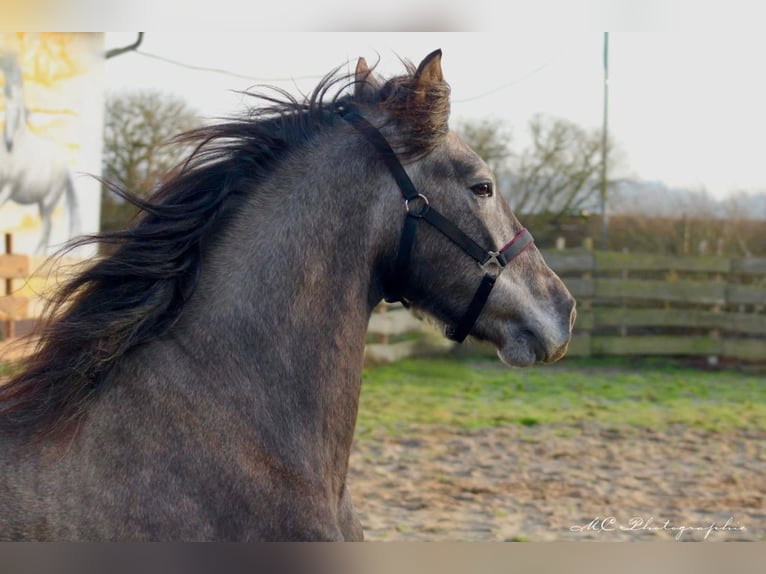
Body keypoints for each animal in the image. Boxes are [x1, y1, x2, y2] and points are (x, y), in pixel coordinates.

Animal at [0, 53, 81, 255]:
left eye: (19, 109)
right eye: (5, 106)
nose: (9, 142)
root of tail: (66, 168)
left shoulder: (8, 188)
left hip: (48, 201)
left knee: (47, 227)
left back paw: (39, 255)